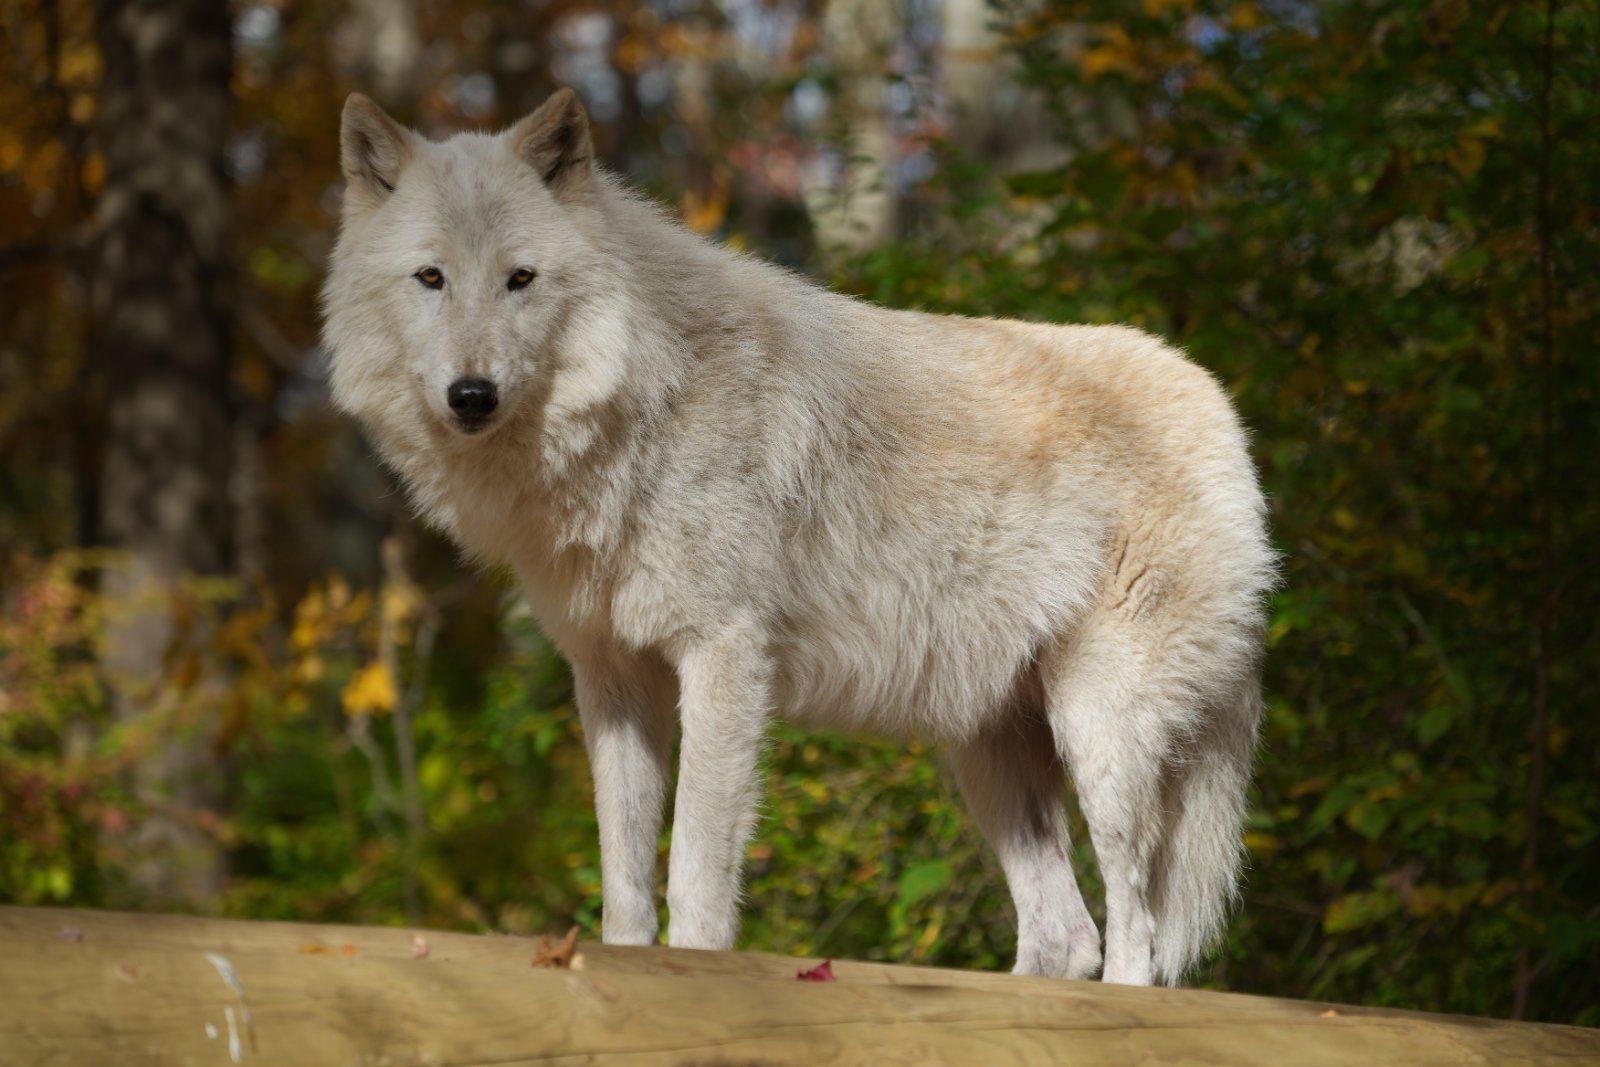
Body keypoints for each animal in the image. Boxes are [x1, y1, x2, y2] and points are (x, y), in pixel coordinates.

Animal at [321, 88, 1274, 986]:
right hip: (989, 755)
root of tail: (1216, 398)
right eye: (431, 278)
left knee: (1136, 933)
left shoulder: (724, 656)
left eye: (520, 278)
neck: (644, 400)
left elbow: (694, 871)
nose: (471, 394)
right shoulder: (613, 679)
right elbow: (624, 881)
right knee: (1066, 936)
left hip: (1101, 733)